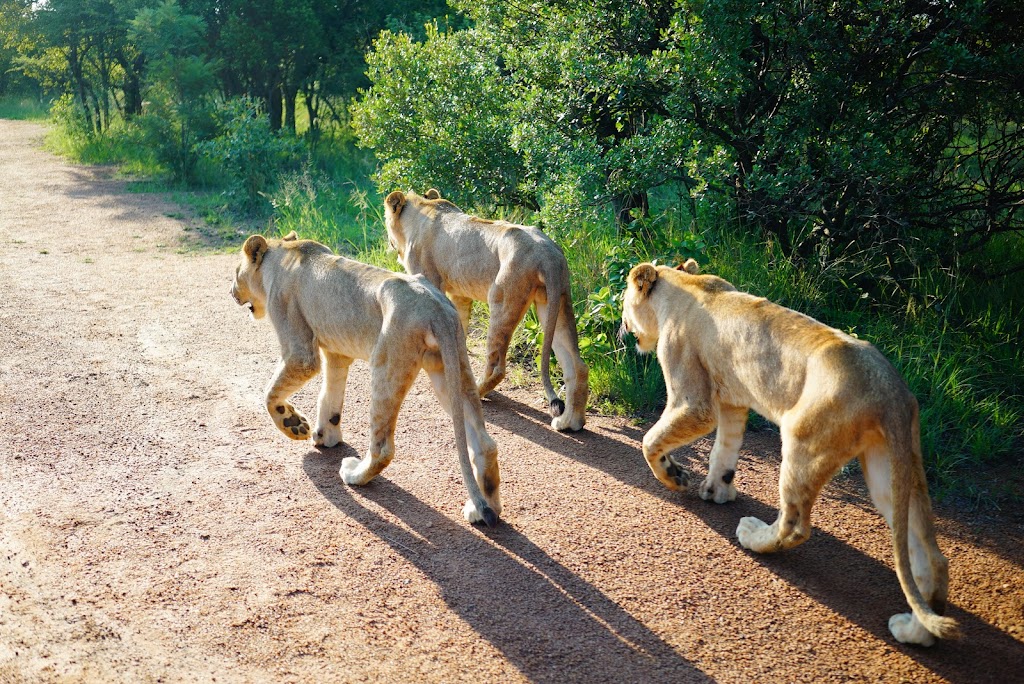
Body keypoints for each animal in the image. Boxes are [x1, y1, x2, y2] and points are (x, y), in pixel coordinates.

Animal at [233, 232, 503, 528]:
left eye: (236, 272)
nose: (232, 292)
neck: (282, 252)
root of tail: (437, 309)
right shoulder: (337, 353)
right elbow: (329, 397)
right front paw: (325, 435)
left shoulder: (300, 352)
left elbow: (270, 393)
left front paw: (294, 425)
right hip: (450, 369)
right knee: (485, 443)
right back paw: (483, 509)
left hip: (386, 366)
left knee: (383, 448)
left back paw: (354, 474)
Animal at [385, 189, 589, 430]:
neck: (423, 209)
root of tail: (548, 253)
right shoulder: (460, 295)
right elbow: (460, 333)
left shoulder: (430, 283)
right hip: (556, 302)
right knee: (577, 365)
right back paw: (570, 422)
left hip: (502, 301)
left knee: (497, 366)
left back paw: (476, 391)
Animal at [618, 259, 962, 643]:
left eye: (622, 304)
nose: (621, 327)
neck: (683, 285)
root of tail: (892, 392)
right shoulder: (734, 401)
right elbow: (724, 450)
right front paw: (717, 490)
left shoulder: (694, 402)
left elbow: (651, 440)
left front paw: (674, 476)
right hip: (889, 468)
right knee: (932, 556)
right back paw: (916, 632)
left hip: (803, 441)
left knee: (795, 526)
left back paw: (753, 536)